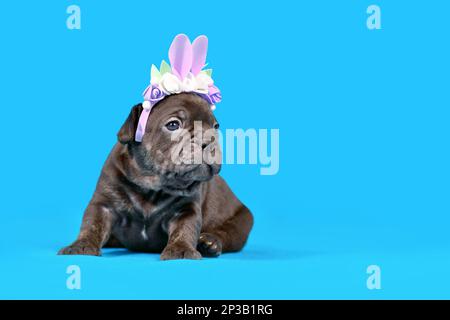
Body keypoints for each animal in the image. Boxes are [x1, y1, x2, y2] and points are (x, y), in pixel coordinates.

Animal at [58, 92, 253, 260]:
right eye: (173, 125)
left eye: (215, 127)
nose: (208, 140)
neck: (152, 186)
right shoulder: (104, 204)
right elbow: (92, 224)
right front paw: (81, 245)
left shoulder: (185, 210)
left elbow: (185, 229)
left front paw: (180, 249)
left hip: (242, 221)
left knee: (227, 234)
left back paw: (209, 243)